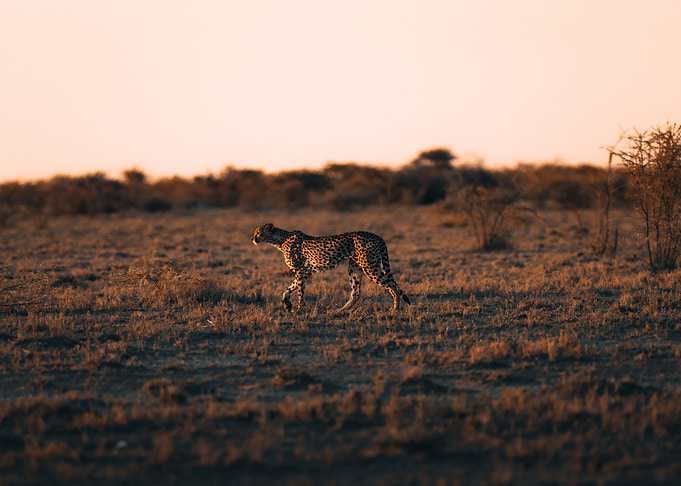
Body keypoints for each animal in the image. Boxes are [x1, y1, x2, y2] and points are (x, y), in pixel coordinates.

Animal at [251, 223, 411, 312]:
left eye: (258, 232)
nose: (252, 238)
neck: (280, 240)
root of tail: (377, 236)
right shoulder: (305, 273)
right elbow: (289, 288)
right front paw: (287, 304)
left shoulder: (301, 271)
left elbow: (300, 292)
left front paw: (299, 309)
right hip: (355, 269)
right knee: (356, 293)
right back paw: (340, 310)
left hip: (370, 268)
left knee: (393, 286)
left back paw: (395, 308)